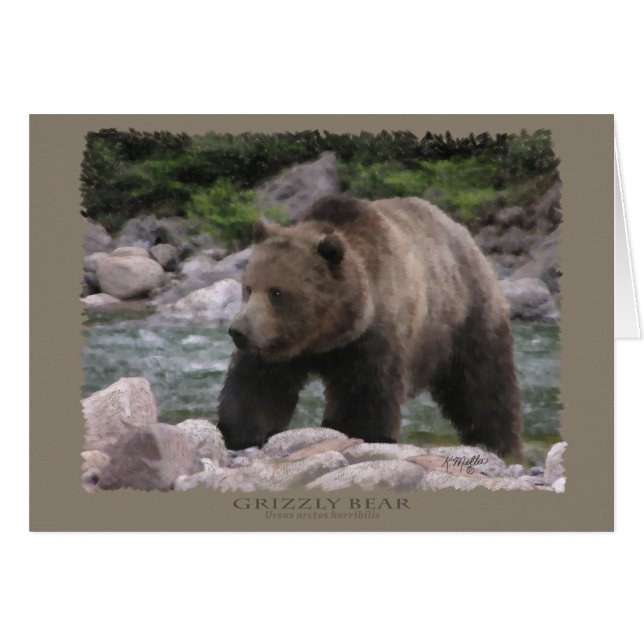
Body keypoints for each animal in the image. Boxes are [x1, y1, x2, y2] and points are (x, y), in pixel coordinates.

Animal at [217, 195, 523, 460]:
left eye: (277, 292)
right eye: (248, 287)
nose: (238, 331)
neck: (326, 336)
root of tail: (465, 235)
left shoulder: (373, 339)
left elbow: (364, 395)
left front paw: (358, 433)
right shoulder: (277, 347)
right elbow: (257, 387)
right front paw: (240, 433)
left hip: (465, 317)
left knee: (482, 387)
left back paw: (499, 444)